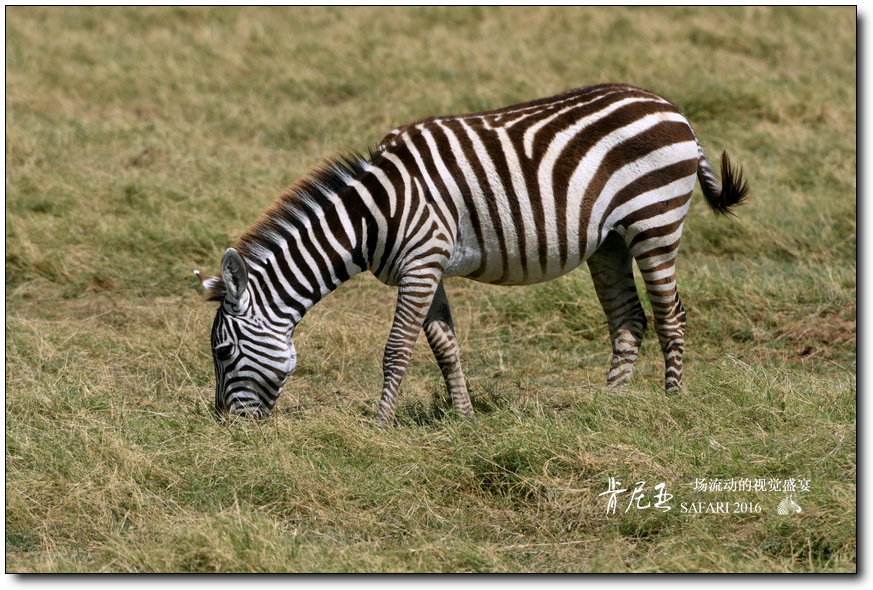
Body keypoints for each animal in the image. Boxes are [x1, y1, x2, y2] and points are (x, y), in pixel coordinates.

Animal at [194, 82, 744, 426]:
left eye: (222, 353)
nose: (225, 426)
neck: (372, 215)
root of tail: (672, 108)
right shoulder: (428, 268)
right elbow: (445, 346)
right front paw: (464, 417)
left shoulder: (421, 263)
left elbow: (397, 349)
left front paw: (379, 425)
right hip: (608, 242)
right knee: (629, 318)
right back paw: (610, 408)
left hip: (655, 222)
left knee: (671, 315)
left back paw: (672, 404)